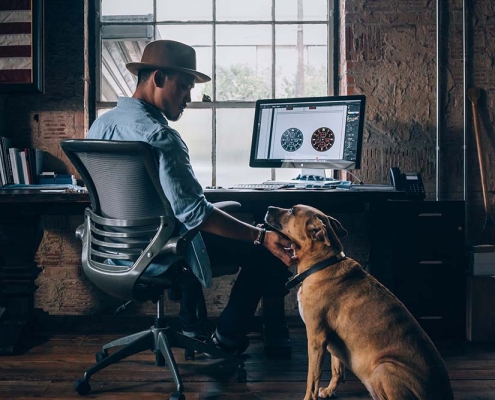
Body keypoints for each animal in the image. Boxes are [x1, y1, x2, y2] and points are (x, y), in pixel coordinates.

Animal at [266, 205, 456, 400]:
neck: (323, 264)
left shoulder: (316, 339)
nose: (269, 207)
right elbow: (336, 369)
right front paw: (329, 391)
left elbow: (312, 378)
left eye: (291, 211)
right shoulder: (332, 342)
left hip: (382, 368)